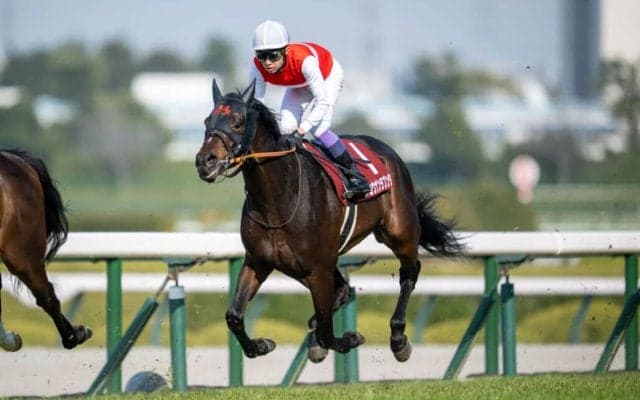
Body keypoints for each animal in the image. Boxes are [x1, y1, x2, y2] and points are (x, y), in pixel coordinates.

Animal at [195, 80, 463, 363]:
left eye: (238, 121)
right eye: (207, 121)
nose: (205, 161)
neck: (278, 201)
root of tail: (387, 150)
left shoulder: (317, 269)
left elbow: (326, 331)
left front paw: (349, 338)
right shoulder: (260, 261)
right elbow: (234, 315)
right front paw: (260, 345)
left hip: (399, 232)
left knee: (409, 273)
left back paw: (399, 339)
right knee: (342, 290)